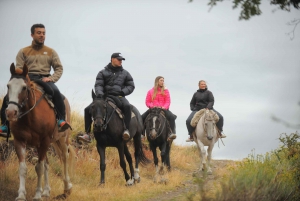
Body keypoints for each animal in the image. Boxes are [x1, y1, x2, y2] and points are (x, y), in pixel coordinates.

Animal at [6, 62, 75, 201]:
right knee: (47, 164)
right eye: (8, 86)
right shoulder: (19, 141)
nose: (11, 112)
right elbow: (23, 168)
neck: (30, 116)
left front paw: (37, 195)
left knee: (64, 157)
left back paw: (67, 188)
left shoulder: (44, 141)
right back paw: (47, 191)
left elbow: (39, 168)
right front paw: (21, 195)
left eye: (24, 88)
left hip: (62, 139)